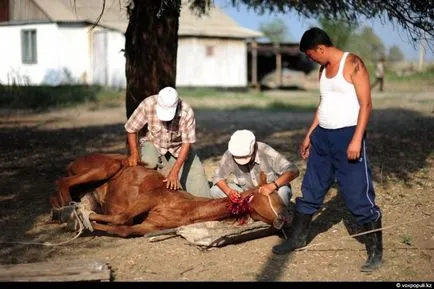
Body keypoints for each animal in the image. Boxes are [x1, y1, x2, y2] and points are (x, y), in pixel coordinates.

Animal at [50, 153, 288, 236]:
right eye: (265, 199)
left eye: (278, 200)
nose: (282, 220)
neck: (187, 208)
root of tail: (73, 162)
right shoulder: (149, 198)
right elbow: (120, 218)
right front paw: (82, 217)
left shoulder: (147, 227)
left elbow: (123, 229)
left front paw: (87, 221)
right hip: (107, 166)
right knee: (61, 181)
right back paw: (67, 210)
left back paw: (61, 212)